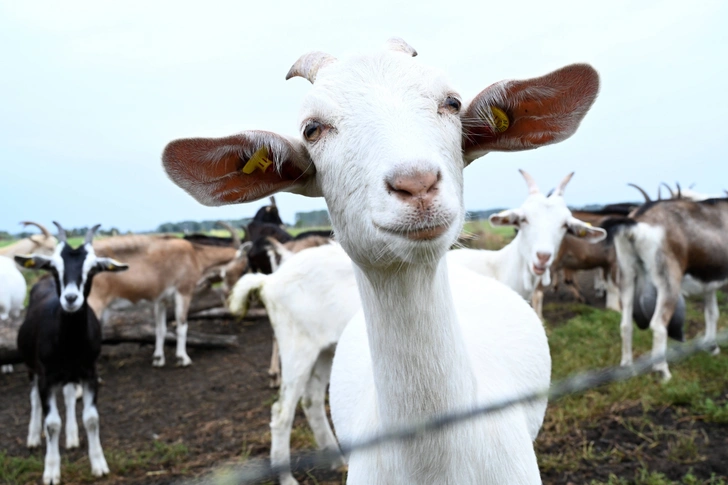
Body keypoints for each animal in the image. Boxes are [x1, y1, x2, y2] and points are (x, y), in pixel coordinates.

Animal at [15, 222, 128, 480]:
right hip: (32, 368)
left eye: (94, 268)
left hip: (69, 374)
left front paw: (99, 464)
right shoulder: (46, 377)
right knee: (34, 399)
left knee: (67, 396)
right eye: (54, 266)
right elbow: (51, 423)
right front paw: (51, 471)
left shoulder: (89, 373)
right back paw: (33, 437)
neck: (70, 343)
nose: (70, 298)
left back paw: (73, 436)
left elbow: (92, 418)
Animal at [164, 38, 596, 484]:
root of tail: (273, 278)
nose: (416, 183)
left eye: (453, 102)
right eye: (312, 129)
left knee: (312, 399)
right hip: (296, 343)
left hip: (322, 349)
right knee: (282, 411)